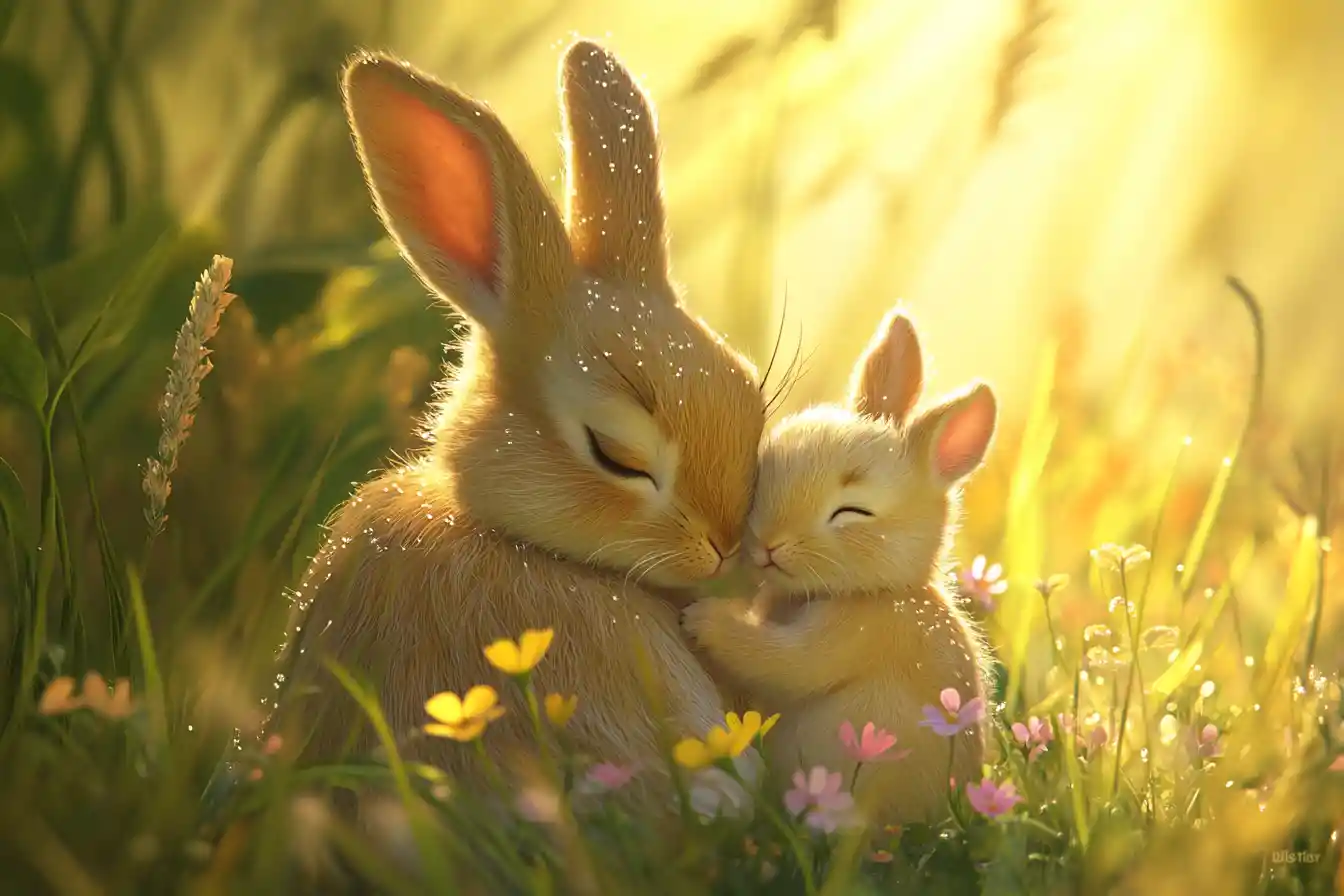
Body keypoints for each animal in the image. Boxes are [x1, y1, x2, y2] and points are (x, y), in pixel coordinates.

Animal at [681, 309, 996, 824]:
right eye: (766, 469)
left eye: (853, 512)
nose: (767, 544)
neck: (876, 590)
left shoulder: (859, 634)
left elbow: (783, 661)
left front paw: (701, 619)